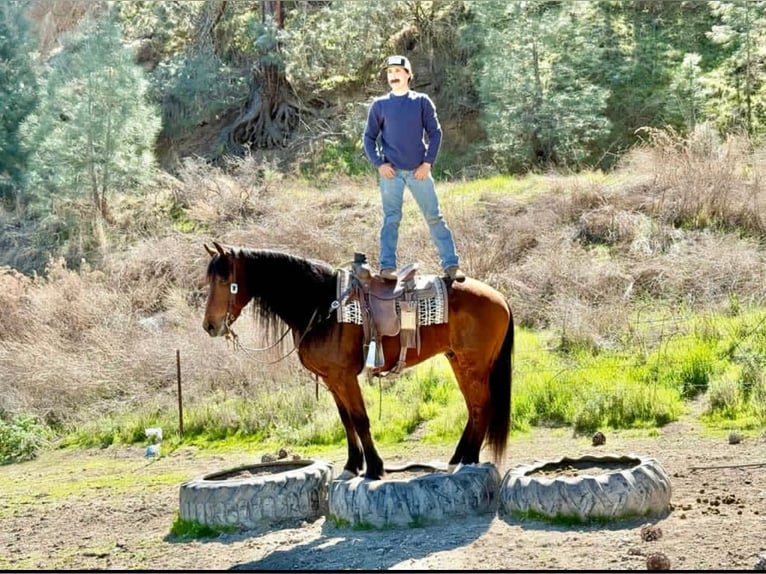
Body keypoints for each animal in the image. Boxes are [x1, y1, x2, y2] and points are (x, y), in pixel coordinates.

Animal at [202, 243, 516, 482]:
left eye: (223, 280)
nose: (210, 326)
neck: (320, 305)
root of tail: (499, 297)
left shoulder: (344, 377)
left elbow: (360, 419)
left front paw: (374, 468)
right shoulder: (331, 380)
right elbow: (346, 421)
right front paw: (352, 466)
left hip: (474, 366)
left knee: (481, 406)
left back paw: (470, 459)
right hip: (458, 362)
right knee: (473, 409)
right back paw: (458, 458)